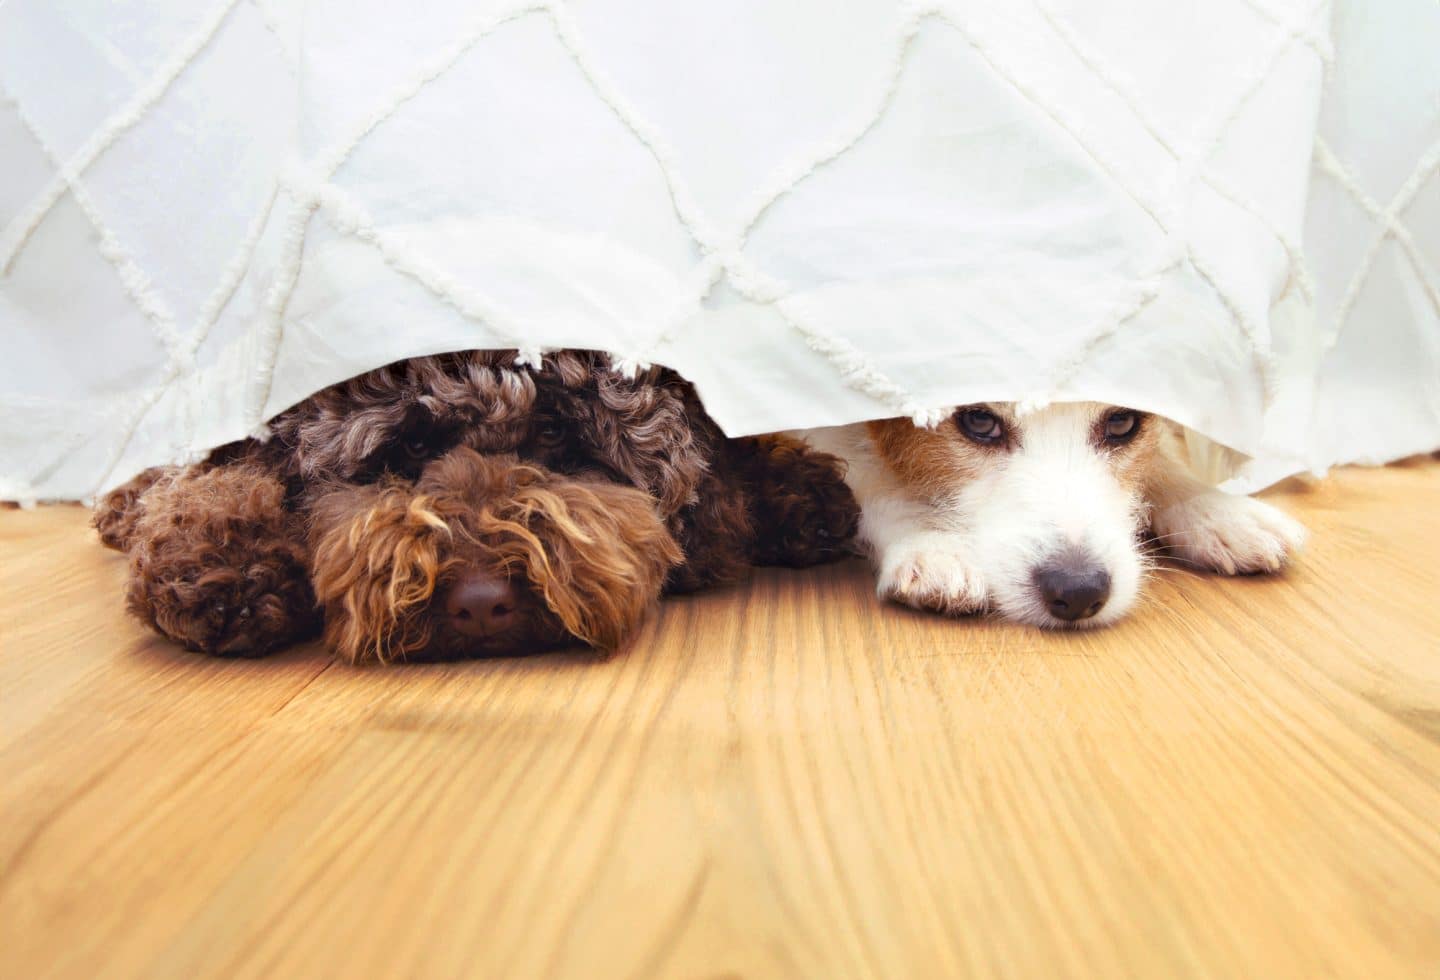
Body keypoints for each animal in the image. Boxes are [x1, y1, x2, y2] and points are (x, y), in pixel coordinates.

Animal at [95, 348, 858, 661]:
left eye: (552, 433)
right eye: (407, 447)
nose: (482, 603)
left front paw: (796, 494)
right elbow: (229, 480)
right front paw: (219, 562)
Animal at [806, 402, 1313, 627]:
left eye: (1123, 421)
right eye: (978, 420)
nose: (1079, 591)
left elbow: (1162, 459)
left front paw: (1215, 509)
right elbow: (872, 477)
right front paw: (933, 544)